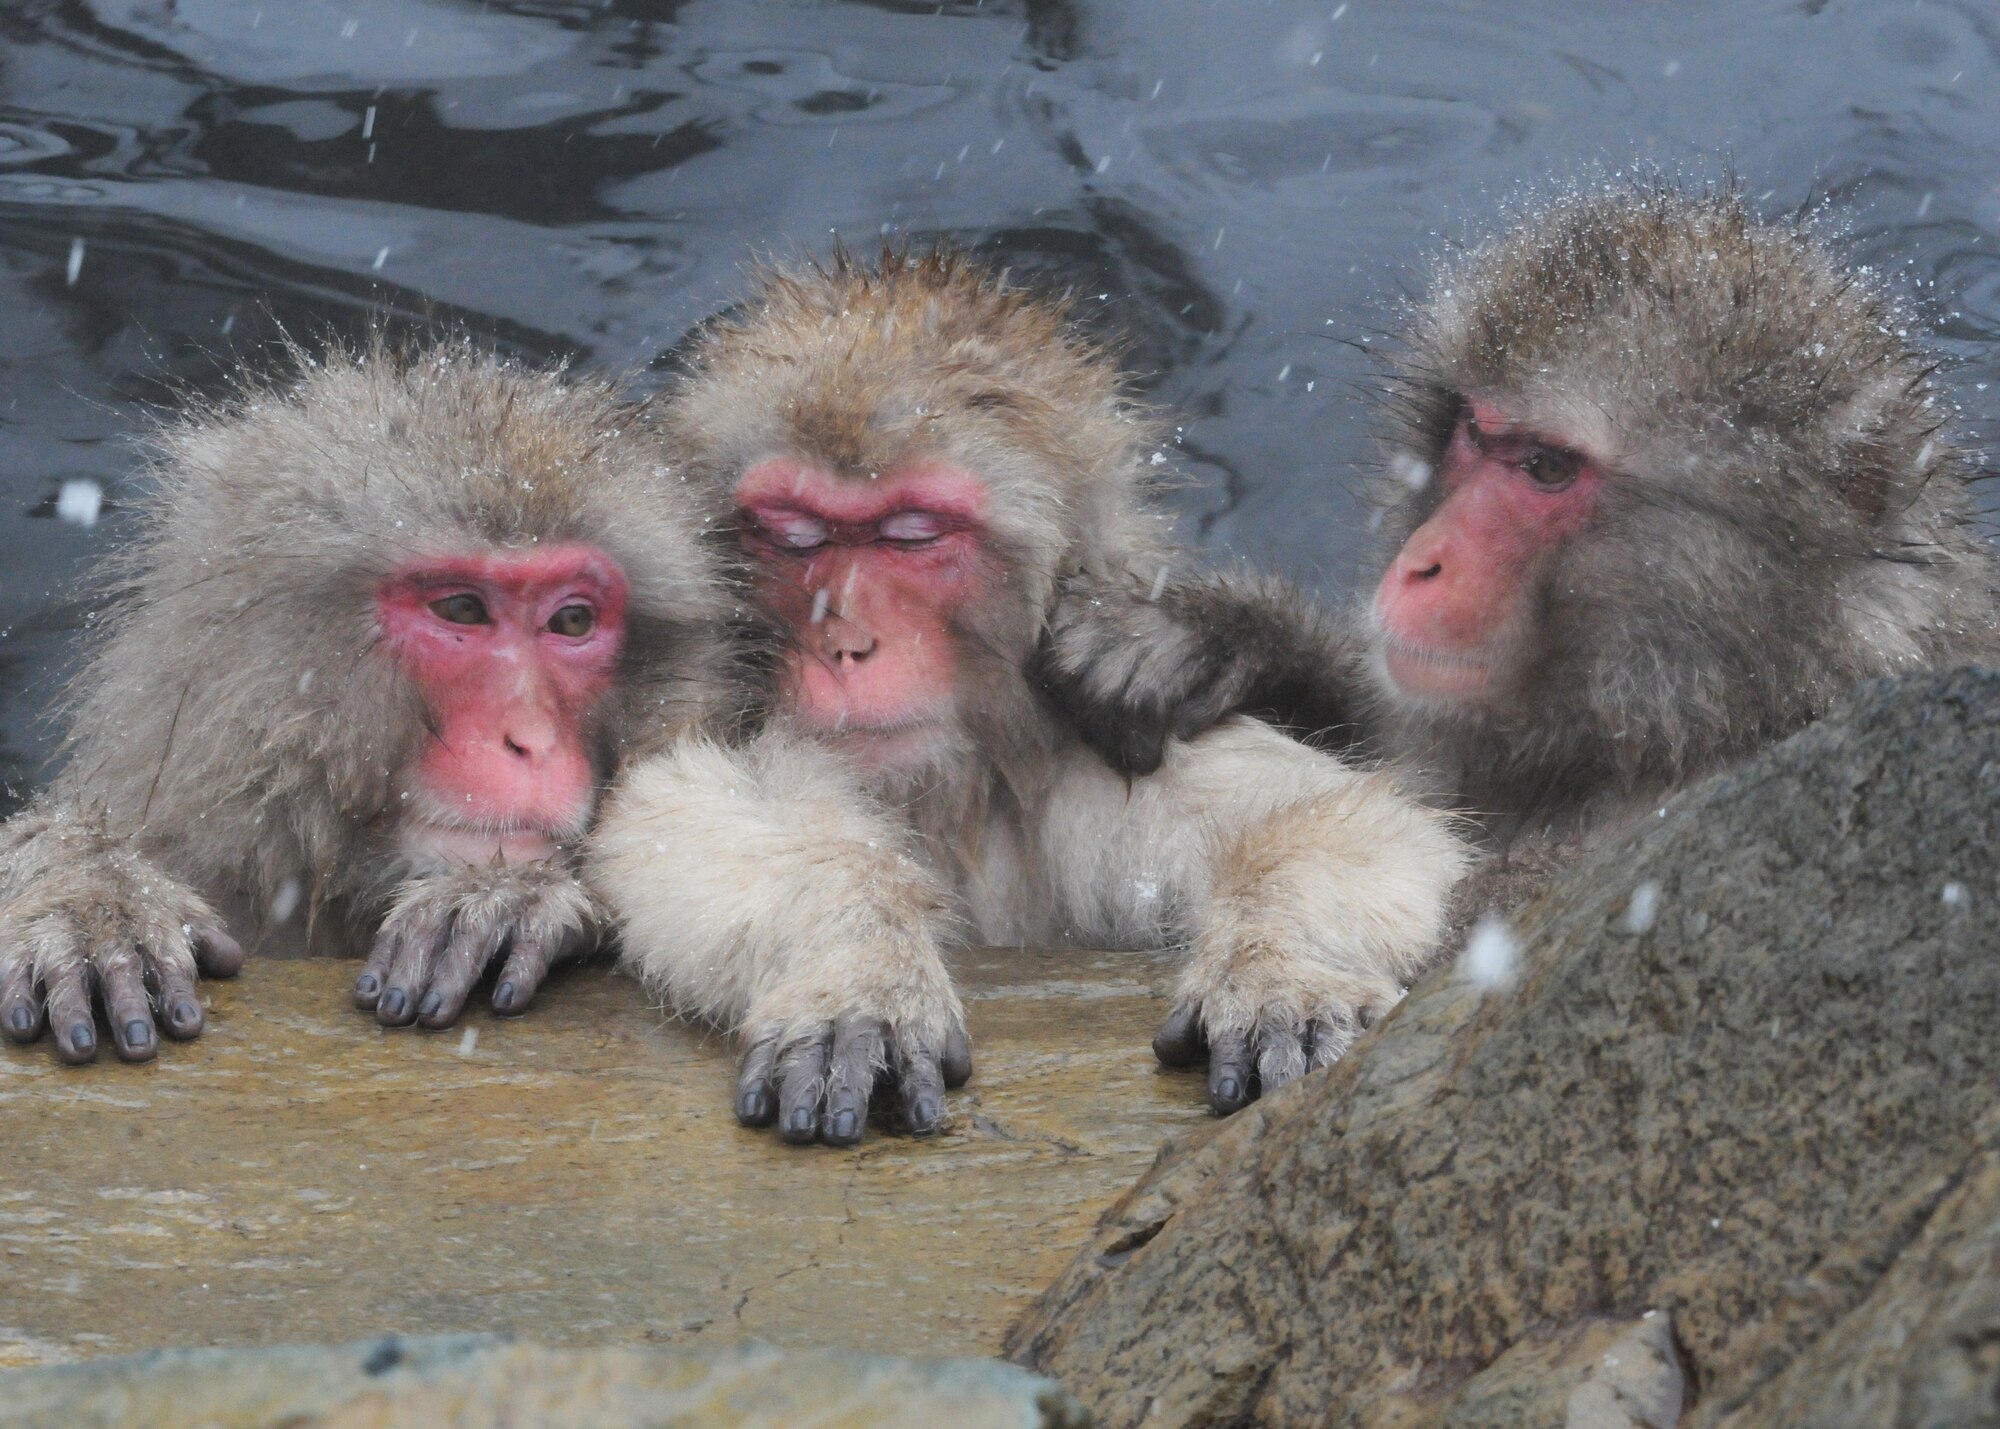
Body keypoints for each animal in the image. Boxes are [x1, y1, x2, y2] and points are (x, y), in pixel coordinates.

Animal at [586, 251, 1472, 1146]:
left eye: (912, 534)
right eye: (796, 535)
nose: (846, 642)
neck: (948, 801)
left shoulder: (1100, 752)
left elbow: (1324, 818)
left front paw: (1284, 967)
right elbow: (687, 813)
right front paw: (855, 966)